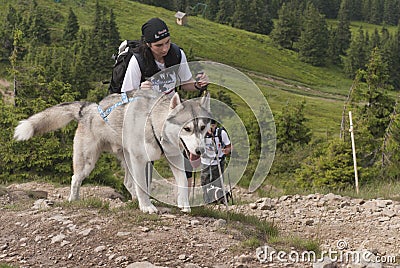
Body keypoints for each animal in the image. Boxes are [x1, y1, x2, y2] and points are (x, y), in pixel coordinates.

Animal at [14, 90, 211, 214]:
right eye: (187, 129)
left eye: (202, 127)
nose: (200, 151)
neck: (154, 123)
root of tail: (88, 108)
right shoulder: (139, 160)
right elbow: (142, 186)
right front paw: (146, 207)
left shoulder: (175, 158)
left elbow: (183, 183)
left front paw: (183, 204)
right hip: (88, 162)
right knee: (75, 179)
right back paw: (74, 199)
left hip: (126, 160)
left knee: (128, 183)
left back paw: (137, 200)